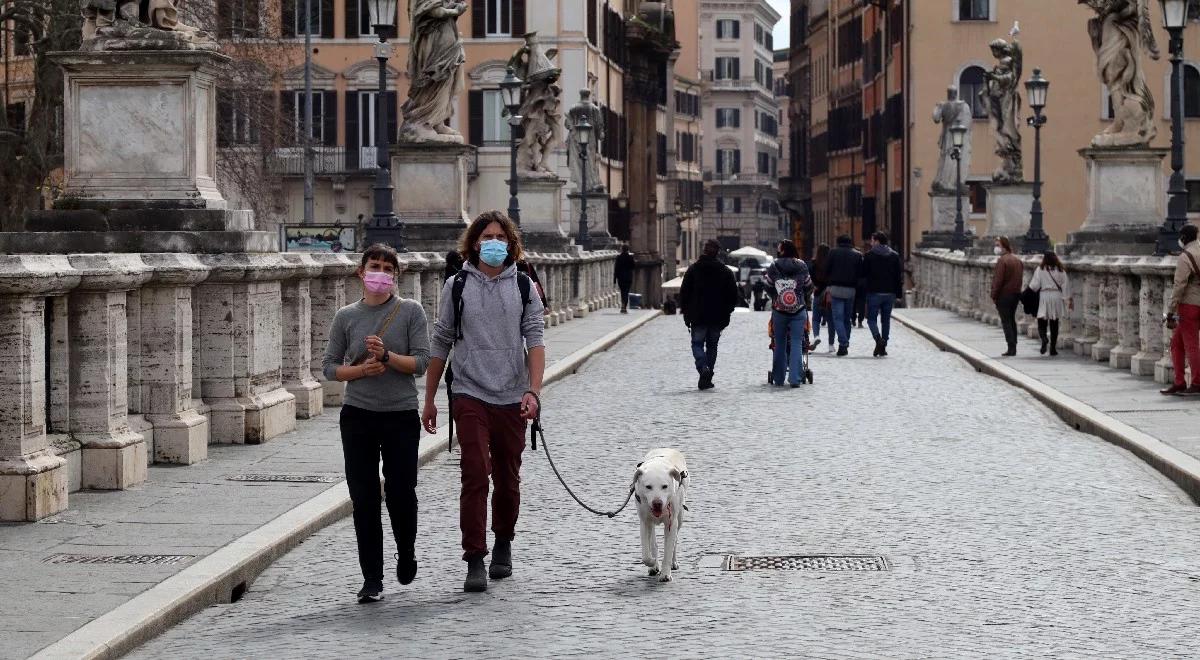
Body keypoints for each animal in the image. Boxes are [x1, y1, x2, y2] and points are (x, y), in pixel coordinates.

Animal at [633, 451, 691, 585]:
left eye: (665, 486)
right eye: (648, 487)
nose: (657, 503)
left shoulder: (671, 523)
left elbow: (668, 550)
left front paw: (665, 574)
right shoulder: (644, 522)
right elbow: (645, 554)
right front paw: (653, 563)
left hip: (680, 517)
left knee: (675, 541)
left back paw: (674, 563)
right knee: (653, 542)